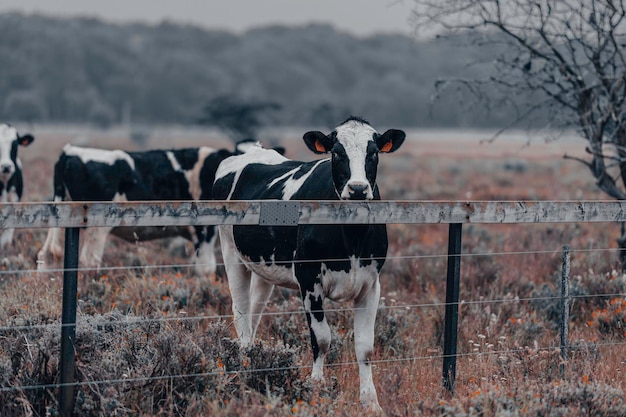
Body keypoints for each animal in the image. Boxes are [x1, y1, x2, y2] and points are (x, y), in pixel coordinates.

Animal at [34, 138, 278, 274]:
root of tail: (69, 152)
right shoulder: (205, 228)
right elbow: (205, 269)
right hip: (96, 229)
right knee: (89, 262)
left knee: (47, 255)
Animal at [210, 116, 404, 410]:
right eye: (336, 153)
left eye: (373, 153)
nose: (358, 188)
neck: (352, 237)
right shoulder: (309, 279)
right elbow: (321, 339)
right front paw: (315, 388)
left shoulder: (371, 284)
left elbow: (365, 347)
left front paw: (371, 402)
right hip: (231, 253)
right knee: (241, 312)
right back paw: (243, 365)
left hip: (264, 267)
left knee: (255, 311)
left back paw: (253, 359)